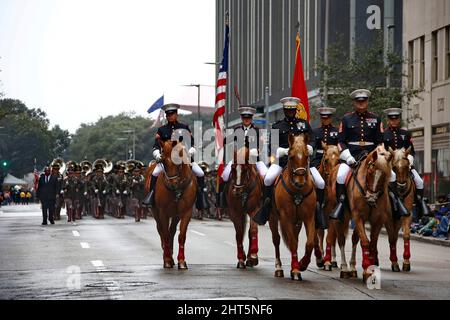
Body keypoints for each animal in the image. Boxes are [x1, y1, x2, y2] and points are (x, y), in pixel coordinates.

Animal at [270, 132, 316, 280]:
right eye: (291, 157)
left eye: (307, 156)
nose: (299, 182)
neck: (297, 192)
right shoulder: (286, 218)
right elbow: (293, 243)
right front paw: (296, 269)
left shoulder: (309, 217)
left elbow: (309, 243)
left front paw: (302, 264)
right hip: (273, 218)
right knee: (277, 240)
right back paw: (279, 268)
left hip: (298, 222)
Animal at [346, 145, 392, 282]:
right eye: (370, 172)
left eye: (385, 175)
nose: (371, 199)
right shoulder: (358, 216)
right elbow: (365, 241)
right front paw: (366, 269)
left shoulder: (378, 220)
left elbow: (372, 243)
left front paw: (370, 268)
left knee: (354, 238)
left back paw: (353, 267)